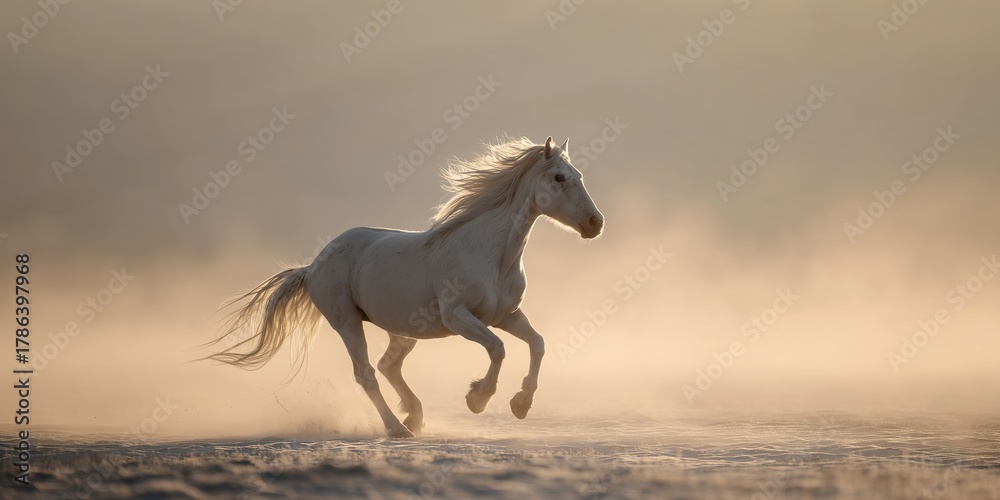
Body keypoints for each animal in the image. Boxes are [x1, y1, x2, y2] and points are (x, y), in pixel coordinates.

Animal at [206, 136, 604, 438]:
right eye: (559, 177)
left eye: (579, 175)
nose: (594, 223)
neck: (490, 253)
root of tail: (313, 265)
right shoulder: (459, 316)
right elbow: (498, 349)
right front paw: (478, 398)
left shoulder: (505, 314)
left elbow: (537, 344)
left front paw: (521, 404)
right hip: (347, 322)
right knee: (367, 374)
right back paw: (398, 428)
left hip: (403, 330)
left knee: (388, 366)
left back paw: (414, 416)